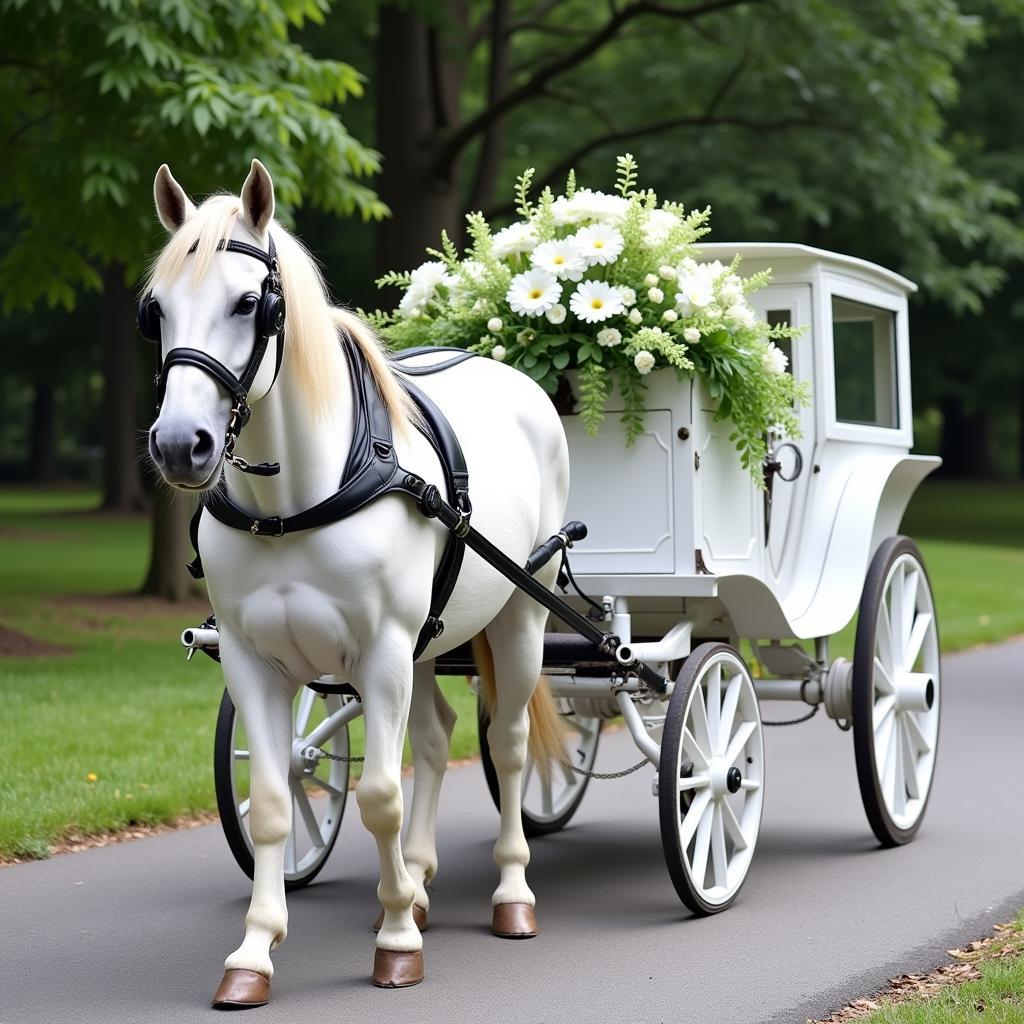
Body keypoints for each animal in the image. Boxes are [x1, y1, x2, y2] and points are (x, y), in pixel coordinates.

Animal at [146, 161, 569, 1007]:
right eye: (157, 311)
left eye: (250, 302)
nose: (180, 445)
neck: (290, 506)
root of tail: (513, 375)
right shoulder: (254, 662)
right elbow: (275, 803)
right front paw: (254, 954)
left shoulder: (379, 656)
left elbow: (378, 797)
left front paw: (397, 940)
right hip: (428, 644)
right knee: (437, 738)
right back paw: (423, 878)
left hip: (517, 620)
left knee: (506, 747)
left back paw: (510, 893)